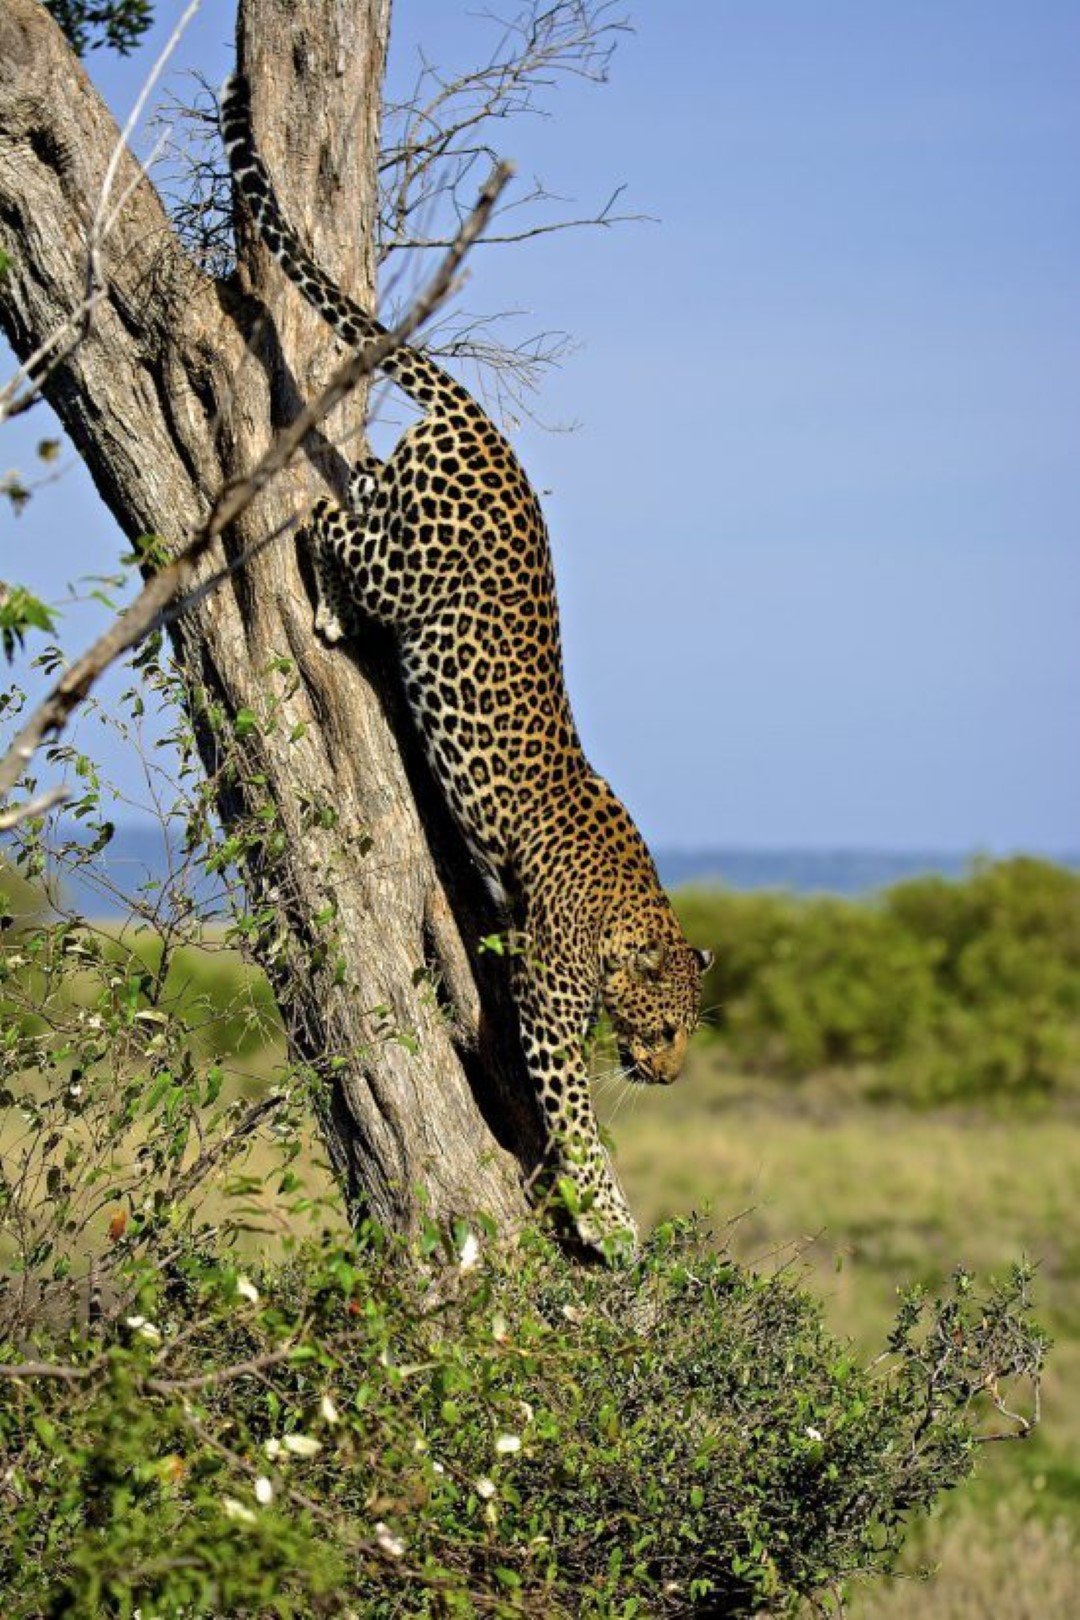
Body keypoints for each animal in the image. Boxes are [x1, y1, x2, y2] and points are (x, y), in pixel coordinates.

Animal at [218, 76, 709, 1257]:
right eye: (665, 1024)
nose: (672, 1077)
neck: (629, 911)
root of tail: (487, 430)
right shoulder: (547, 1005)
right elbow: (577, 1122)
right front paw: (614, 1229)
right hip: (406, 568)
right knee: (317, 521)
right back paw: (325, 608)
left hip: (403, 500)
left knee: (349, 484)